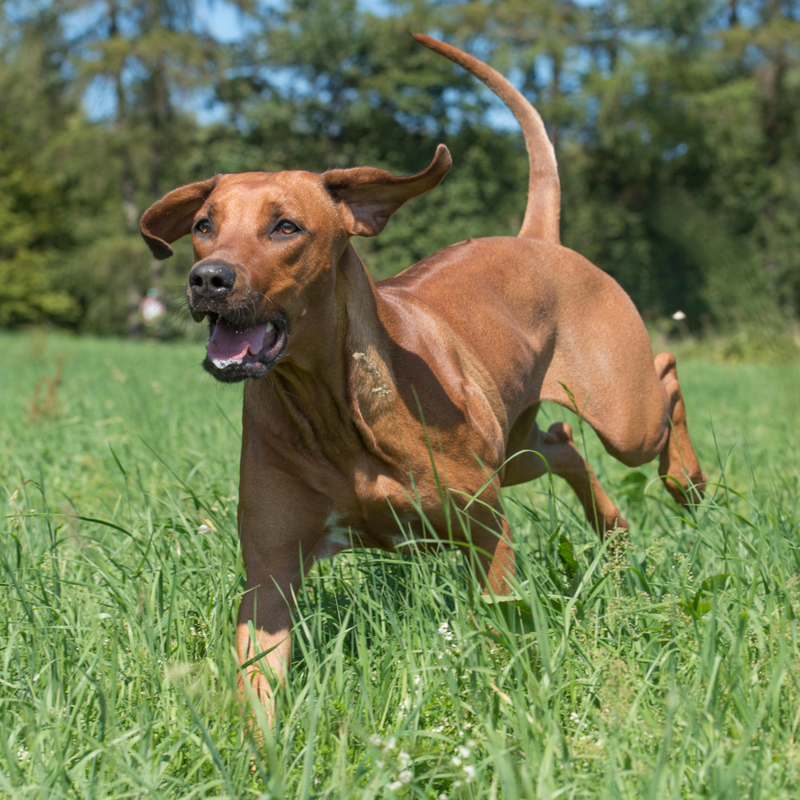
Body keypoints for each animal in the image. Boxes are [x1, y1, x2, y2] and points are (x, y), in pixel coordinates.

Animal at [139, 32, 708, 708]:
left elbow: (502, 623)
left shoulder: (486, 529)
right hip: (512, 446)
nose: (208, 279)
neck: (334, 408)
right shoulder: (270, 573)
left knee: (664, 375)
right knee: (564, 442)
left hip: (622, 414)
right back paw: (613, 530)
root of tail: (537, 239)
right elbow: (259, 684)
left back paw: (686, 480)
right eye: (204, 226)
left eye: (285, 227)